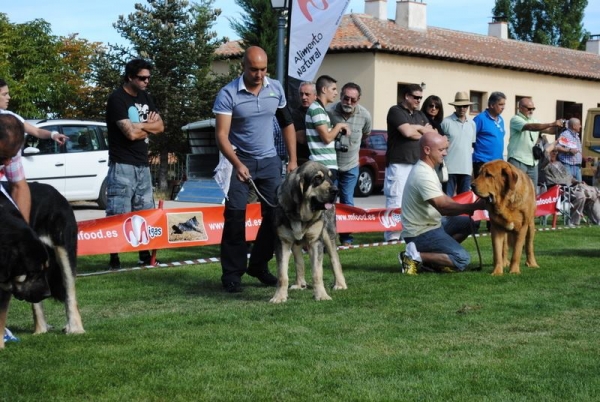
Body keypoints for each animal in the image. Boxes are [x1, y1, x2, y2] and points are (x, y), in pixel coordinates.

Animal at [270, 160, 350, 302]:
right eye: (317, 178)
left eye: (330, 177)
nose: (336, 190)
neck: (301, 215)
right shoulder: (282, 242)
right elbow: (282, 275)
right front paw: (279, 297)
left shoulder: (315, 242)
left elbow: (317, 273)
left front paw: (321, 295)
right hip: (295, 245)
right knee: (299, 262)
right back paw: (299, 284)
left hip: (328, 235)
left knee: (335, 259)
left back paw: (340, 284)